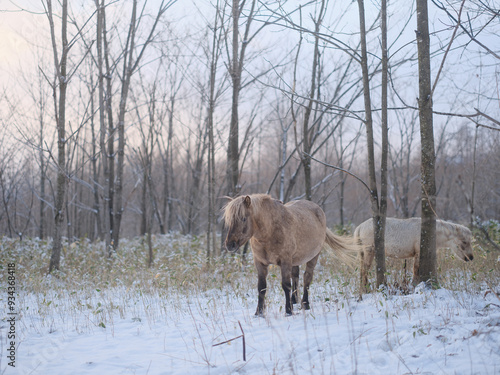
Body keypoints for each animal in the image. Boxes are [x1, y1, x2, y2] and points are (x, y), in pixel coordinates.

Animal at [224, 194, 360, 318]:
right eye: (229, 220)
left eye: (243, 219)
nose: (230, 244)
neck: (270, 231)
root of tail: (318, 210)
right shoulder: (260, 263)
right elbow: (261, 287)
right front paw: (259, 312)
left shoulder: (285, 261)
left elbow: (285, 285)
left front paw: (288, 311)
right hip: (295, 260)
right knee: (296, 276)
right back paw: (294, 300)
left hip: (313, 256)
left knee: (307, 277)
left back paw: (305, 303)